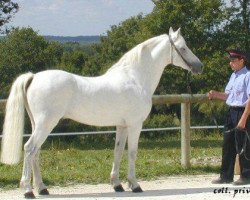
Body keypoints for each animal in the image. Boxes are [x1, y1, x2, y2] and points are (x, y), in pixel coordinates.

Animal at [0, 27, 202, 198]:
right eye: (183, 48)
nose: (199, 67)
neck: (135, 78)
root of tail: (33, 77)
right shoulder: (135, 125)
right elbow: (132, 152)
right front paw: (135, 185)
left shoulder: (122, 125)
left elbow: (118, 151)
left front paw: (117, 185)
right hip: (46, 123)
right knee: (29, 148)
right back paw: (28, 190)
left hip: (39, 124)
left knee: (36, 152)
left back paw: (42, 188)